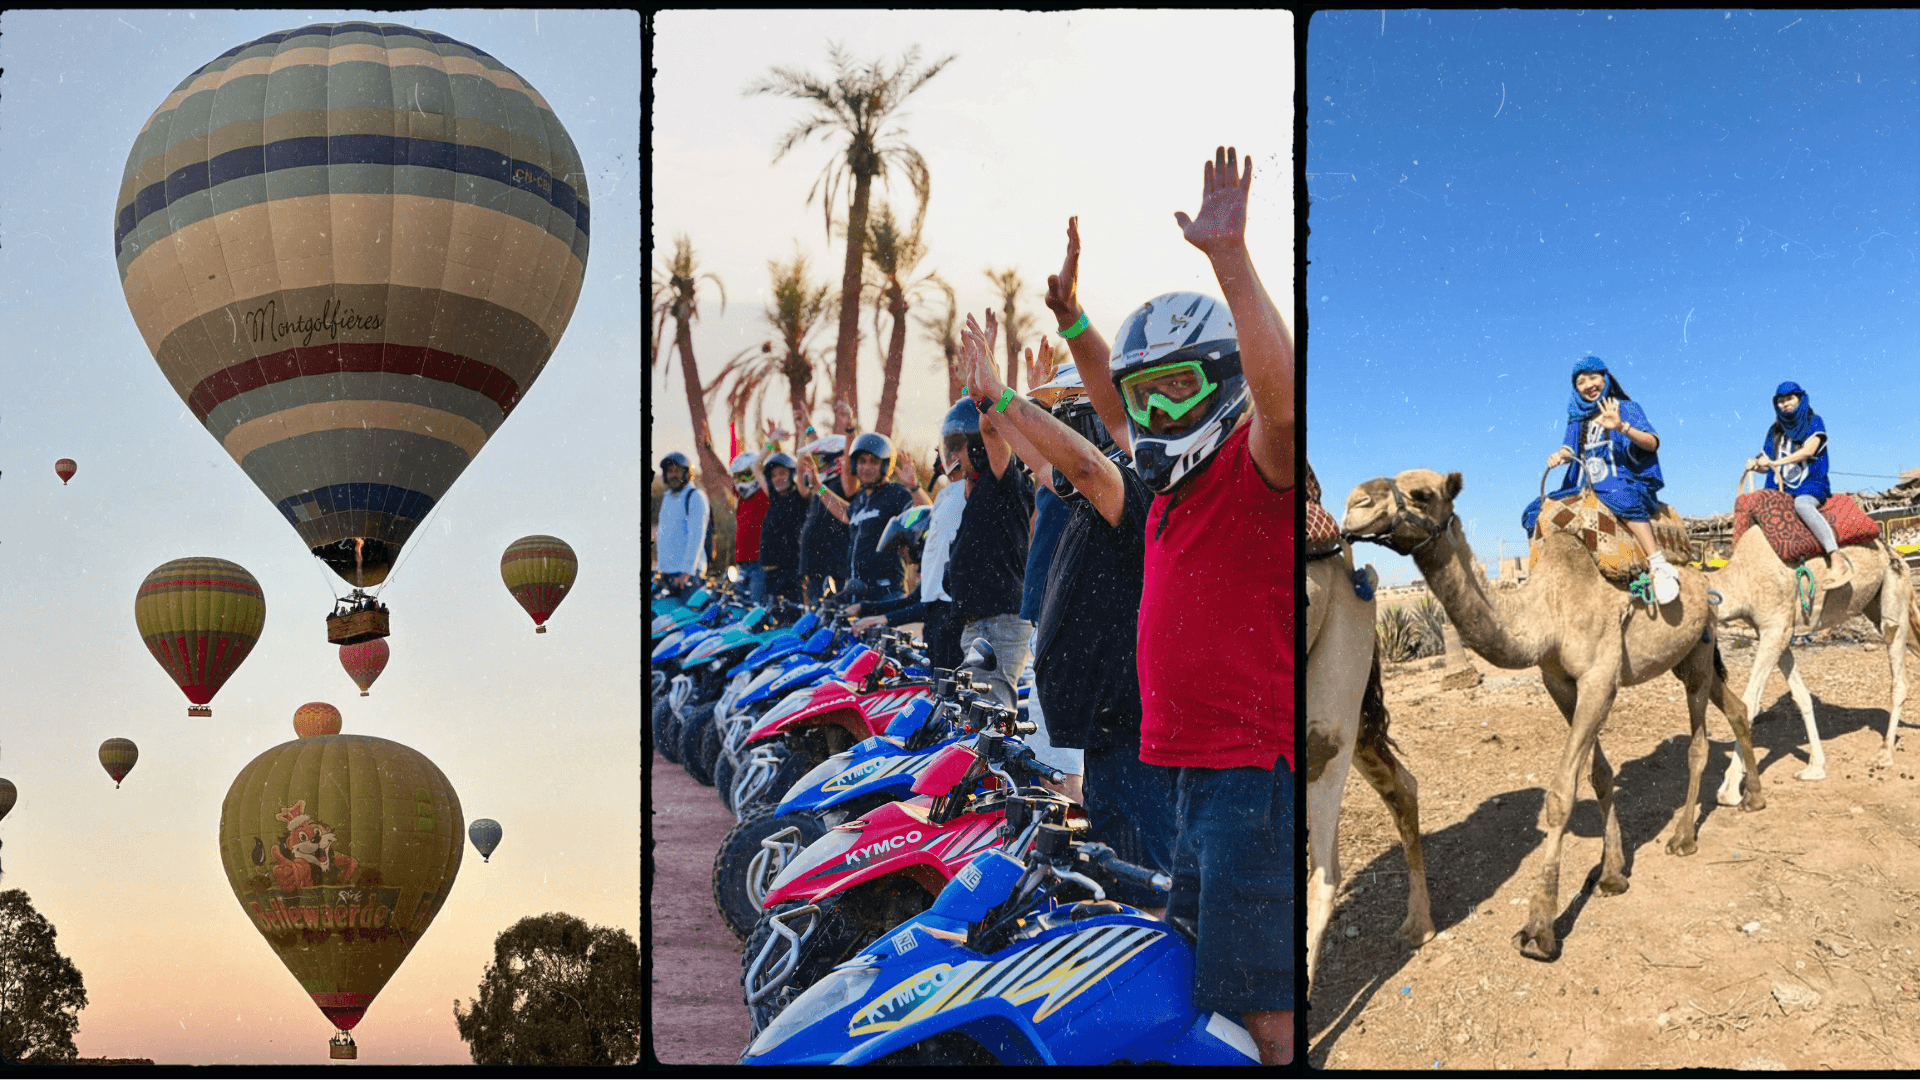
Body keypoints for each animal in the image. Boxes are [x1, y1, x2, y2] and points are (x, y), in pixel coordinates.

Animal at [1344, 466, 1758, 953]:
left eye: (1423, 494)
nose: (1354, 505)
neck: (1547, 614)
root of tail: (1700, 571)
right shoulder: (1560, 684)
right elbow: (1600, 774)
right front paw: (1612, 873)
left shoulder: (1599, 680)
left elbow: (1561, 794)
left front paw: (1539, 927)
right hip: (1687, 659)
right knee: (1735, 707)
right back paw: (1754, 796)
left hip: (1697, 651)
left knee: (1697, 742)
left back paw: (1684, 836)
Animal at [1712, 522, 1920, 799]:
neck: (1740, 579)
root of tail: (1897, 554)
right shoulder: (1776, 632)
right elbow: (1801, 696)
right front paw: (1815, 767)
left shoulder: (1774, 627)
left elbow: (1749, 703)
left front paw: (1730, 788)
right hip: (1875, 604)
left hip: (1894, 593)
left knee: (1896, 661)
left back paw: (1884, 755)